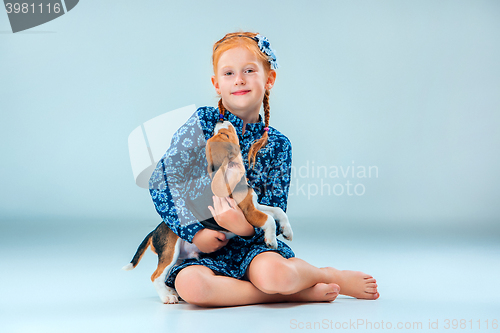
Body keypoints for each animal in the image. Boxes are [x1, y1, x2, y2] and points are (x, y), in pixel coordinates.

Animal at [124, 120, 292, 304]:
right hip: (170, 251)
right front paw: (271, 240)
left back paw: (172, 292)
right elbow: (269, 219)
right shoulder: (249, 212)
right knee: (156, 276)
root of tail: (154, 231)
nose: (220, 121)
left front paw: (287, 230)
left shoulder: (256, 205)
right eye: (225, 135)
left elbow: (277, 210)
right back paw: (167, 296)